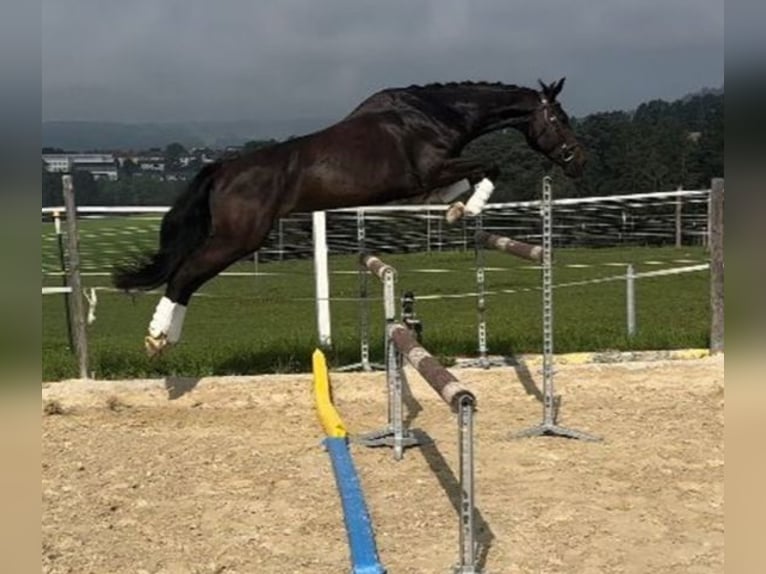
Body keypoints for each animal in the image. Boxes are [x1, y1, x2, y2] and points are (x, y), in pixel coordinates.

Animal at [113, 78, 585, 355]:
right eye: (558, 118)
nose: (576, 161)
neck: (433, 114)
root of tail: (222, 169)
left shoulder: (427, 181)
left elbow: (460, 184)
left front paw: (455, 209)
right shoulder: (431, 170)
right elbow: (490, 166)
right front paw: (468, 207)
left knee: (186, 275)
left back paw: (165, 338)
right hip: (238, 238)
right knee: (185, 276)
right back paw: (158, 338)